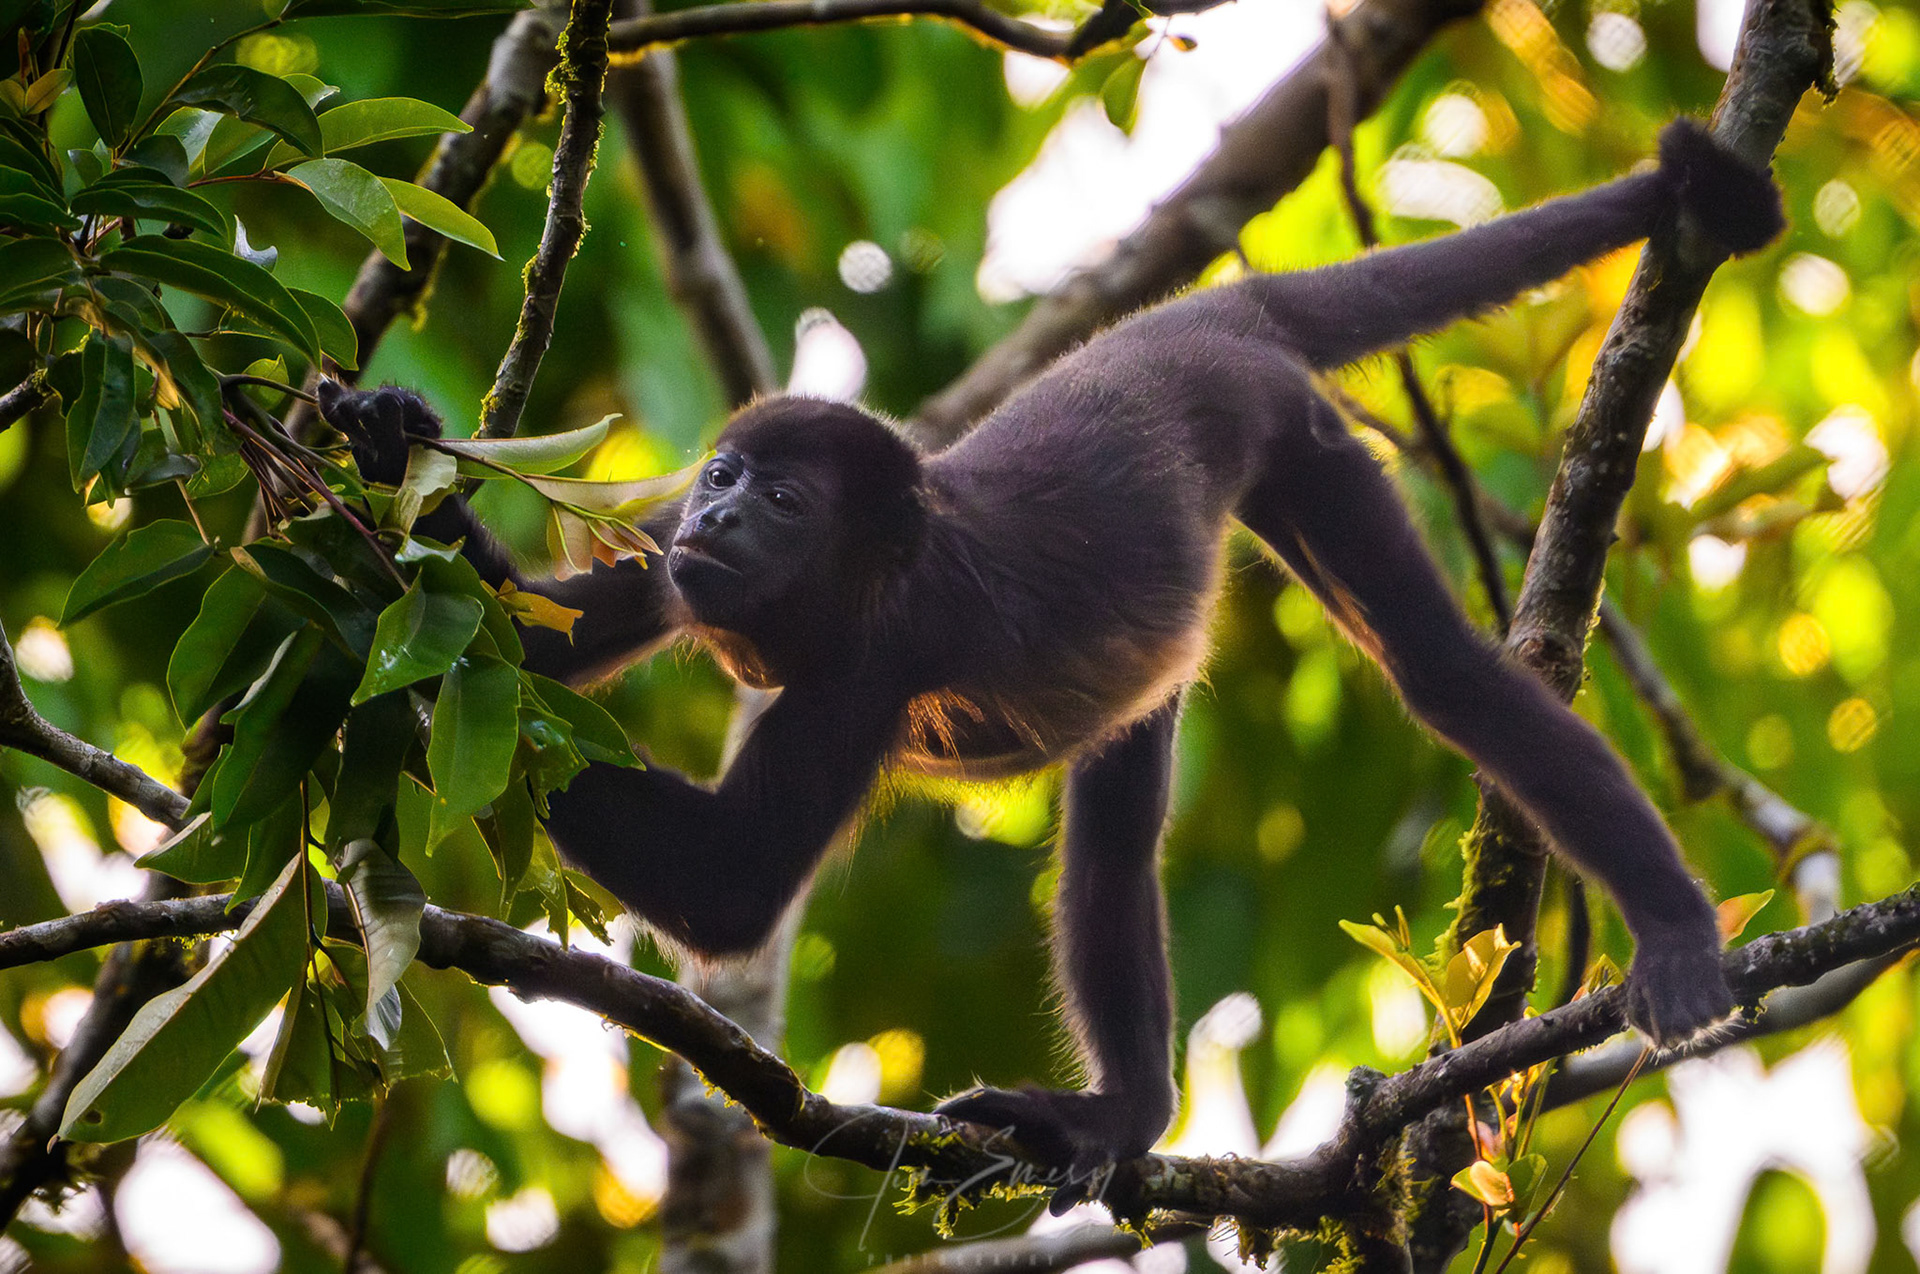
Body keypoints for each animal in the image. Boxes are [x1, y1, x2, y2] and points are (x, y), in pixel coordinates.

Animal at [319, 119, 1782, 1173]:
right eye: (725, 473)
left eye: (784, 498)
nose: (720, 509)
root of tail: (1195, 319)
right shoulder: (678, 567)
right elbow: (552, 637)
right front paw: (382, 454)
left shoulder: (871, 661)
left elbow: (728, 887)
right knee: (1114, 832)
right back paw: (1118, 1116)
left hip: (1297, 434)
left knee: (1443, 677)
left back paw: (1667, 924)